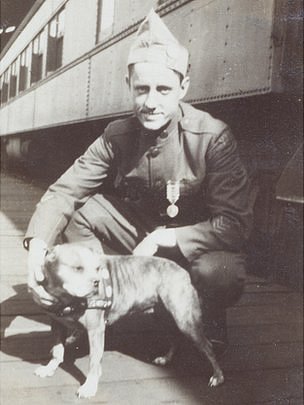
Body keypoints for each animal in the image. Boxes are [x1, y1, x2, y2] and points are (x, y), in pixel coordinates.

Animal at [34, 243, 224, 398]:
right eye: (77, 268)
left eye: (97, 268)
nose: (96, 282)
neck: (66, 299)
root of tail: (183, 270)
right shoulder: (57, 325)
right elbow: (57, 350)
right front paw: (50, 368)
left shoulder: (95, 331)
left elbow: (94, 361)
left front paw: (89, 387)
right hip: (164, 317)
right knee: (175, 337)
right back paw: (165, 358)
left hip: (185, 320)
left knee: (207, 346)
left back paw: (217, 376)